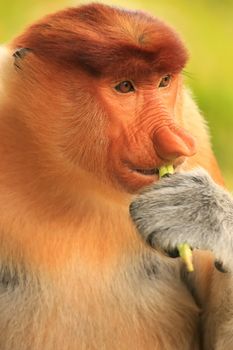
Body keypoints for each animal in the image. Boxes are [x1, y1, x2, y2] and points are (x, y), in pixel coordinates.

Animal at [0, 3, 228, 350]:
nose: (179, 142)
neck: (73, 177)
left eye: (163, 81)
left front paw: (199, 212)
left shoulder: (194, 131)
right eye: (124, 86)